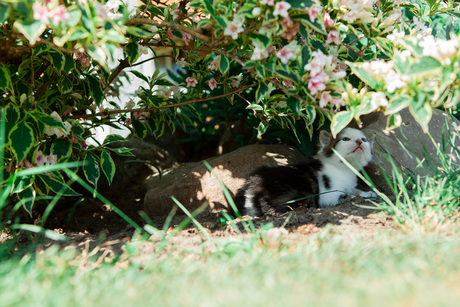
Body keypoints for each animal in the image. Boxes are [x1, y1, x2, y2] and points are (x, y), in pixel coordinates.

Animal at [234, 127, 378, 217]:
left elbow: (353, 190)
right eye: (346, 139)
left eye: (364, 140)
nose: (359, 142)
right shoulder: (328, 196)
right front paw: (366, 195)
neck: (344, 169)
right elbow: (348, 195)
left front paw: (369, 192)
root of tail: (252, 189)